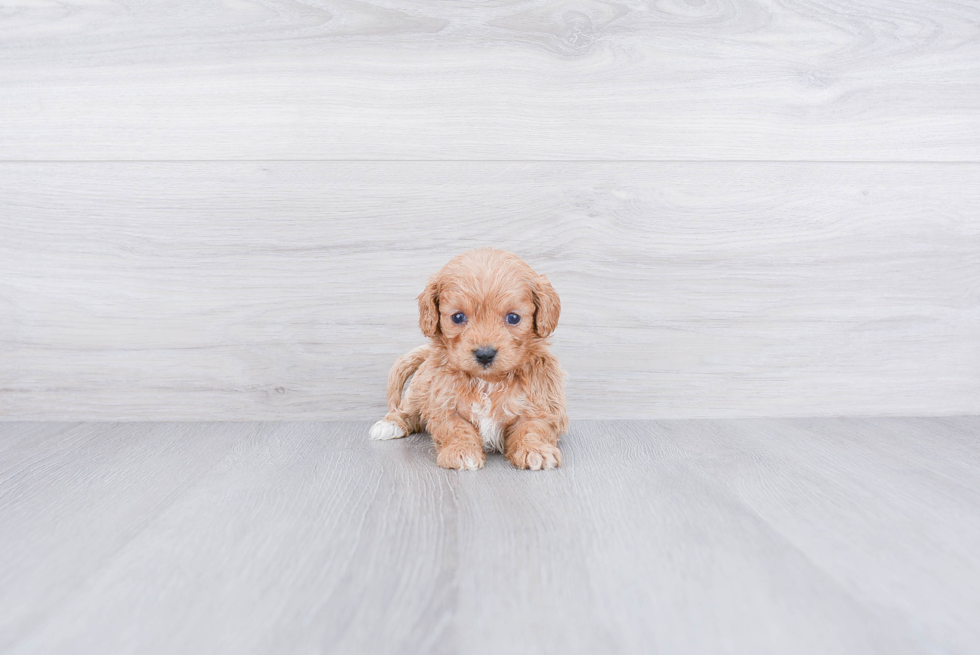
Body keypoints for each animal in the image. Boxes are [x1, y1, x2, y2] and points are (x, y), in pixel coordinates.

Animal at [368, 249, 568, 468]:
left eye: (514, 318)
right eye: (458, 317)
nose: (485, 354)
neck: (488, 382)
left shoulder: (541, 404)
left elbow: (532, 428)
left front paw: (536, 451)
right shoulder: (444, 405)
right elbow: (456, 429)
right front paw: (461, 452)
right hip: (419, 390)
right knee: (407, 409)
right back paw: (390, 424)